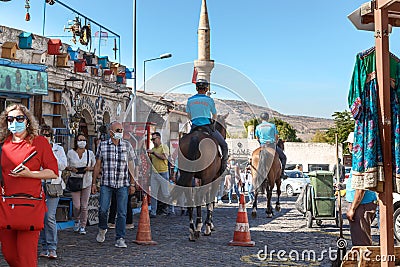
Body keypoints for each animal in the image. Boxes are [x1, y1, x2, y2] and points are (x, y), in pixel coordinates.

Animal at [176, 114, 227, 242]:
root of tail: (195, 138)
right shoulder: (214, 179)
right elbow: (211, 200)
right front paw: (209, 225)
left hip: (189, 177)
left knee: (190, 198)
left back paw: (191, 230)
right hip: (207, 177)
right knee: (200, 197)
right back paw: (199, 227)